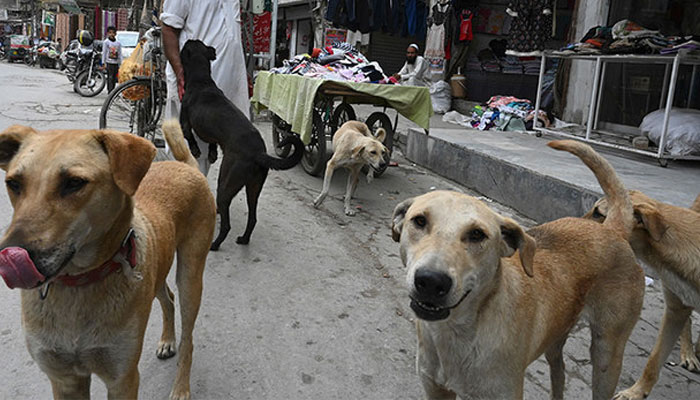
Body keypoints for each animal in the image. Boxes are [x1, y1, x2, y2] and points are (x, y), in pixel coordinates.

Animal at [0, 119, 216, 400]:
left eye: (74, 182)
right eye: (13, 183)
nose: (10, 254)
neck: (78, 283)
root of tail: (185, 165)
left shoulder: (122, 377)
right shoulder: (64, 379)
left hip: (190, 276)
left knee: (188, 337)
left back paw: (181, 387)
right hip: (157, 265)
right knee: (168, 298)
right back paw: (167, 341)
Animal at [179, 39, 302, 248]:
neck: (201, 80)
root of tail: (258, 153)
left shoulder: (186, 121)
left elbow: (190, 136)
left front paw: (196, 151)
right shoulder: (212, 135)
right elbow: (212, 143)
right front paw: (212, 154)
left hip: (226, 182)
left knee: (226, 224)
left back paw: (215, 244)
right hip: (253, 187)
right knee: (252, 218)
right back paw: (243, 239)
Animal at [392, 139, 644, 398]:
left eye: (477, 234)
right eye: (419, 221)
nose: (431, 282)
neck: (458, 331)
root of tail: (612, 229)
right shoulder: (434, 387)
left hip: (607, 355)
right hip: (555, 335)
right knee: (559, 372)